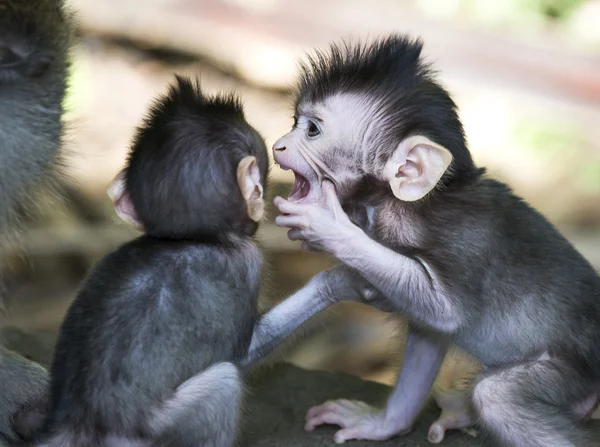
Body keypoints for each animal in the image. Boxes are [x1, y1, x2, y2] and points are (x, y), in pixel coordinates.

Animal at [32, 77, 268, 447]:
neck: (193, 236)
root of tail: (81, 423)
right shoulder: (249, 262)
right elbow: (245, 351)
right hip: (163, 428)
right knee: (225, 382)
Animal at [243, 35, 600, 447]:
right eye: (294, 123)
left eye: (312, 130)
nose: (280, 144)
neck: (400, 205)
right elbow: (429, 331)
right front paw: (384, 424)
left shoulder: (463, 242)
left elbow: (446, 312)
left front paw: (328, 228)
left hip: (574, 371)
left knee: (498, 397)